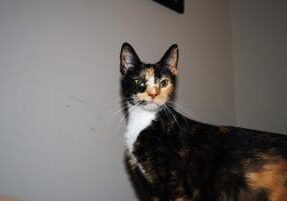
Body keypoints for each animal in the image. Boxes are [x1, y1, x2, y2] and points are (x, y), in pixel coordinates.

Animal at [120, 42, 287, 201]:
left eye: (164, 82)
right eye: (138, 81)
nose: (153, 94)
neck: (143, 122)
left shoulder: (176, 187)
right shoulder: (147, 186)